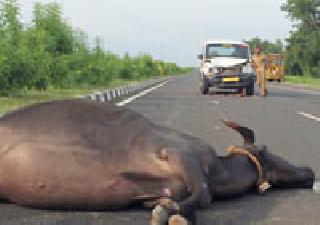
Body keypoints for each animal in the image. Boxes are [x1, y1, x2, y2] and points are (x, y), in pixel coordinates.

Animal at [0, 100, 316, 225]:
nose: (310, 171)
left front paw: (168, 210)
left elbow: (185, 197)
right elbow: (203, 195)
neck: (218, 171)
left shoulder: (161, 188)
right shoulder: (178, 153)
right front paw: (171, 213)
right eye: (267, 150)